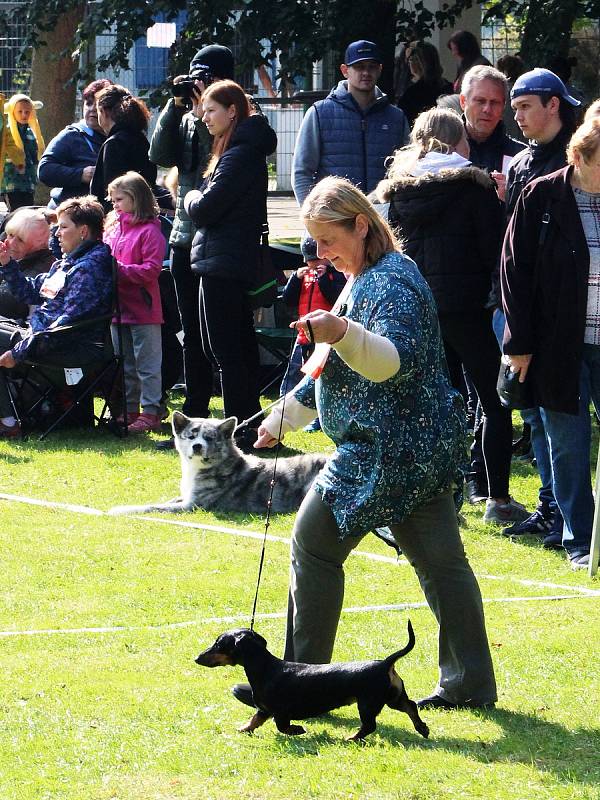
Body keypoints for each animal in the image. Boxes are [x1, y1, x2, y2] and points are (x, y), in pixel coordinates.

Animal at [105, 410, 326, 516]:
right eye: (191, 436)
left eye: (209, 438)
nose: (197, 446)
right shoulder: (185, 498)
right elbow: (167, 501)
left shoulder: (192, 506)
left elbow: (152, 507)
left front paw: (120, 510)